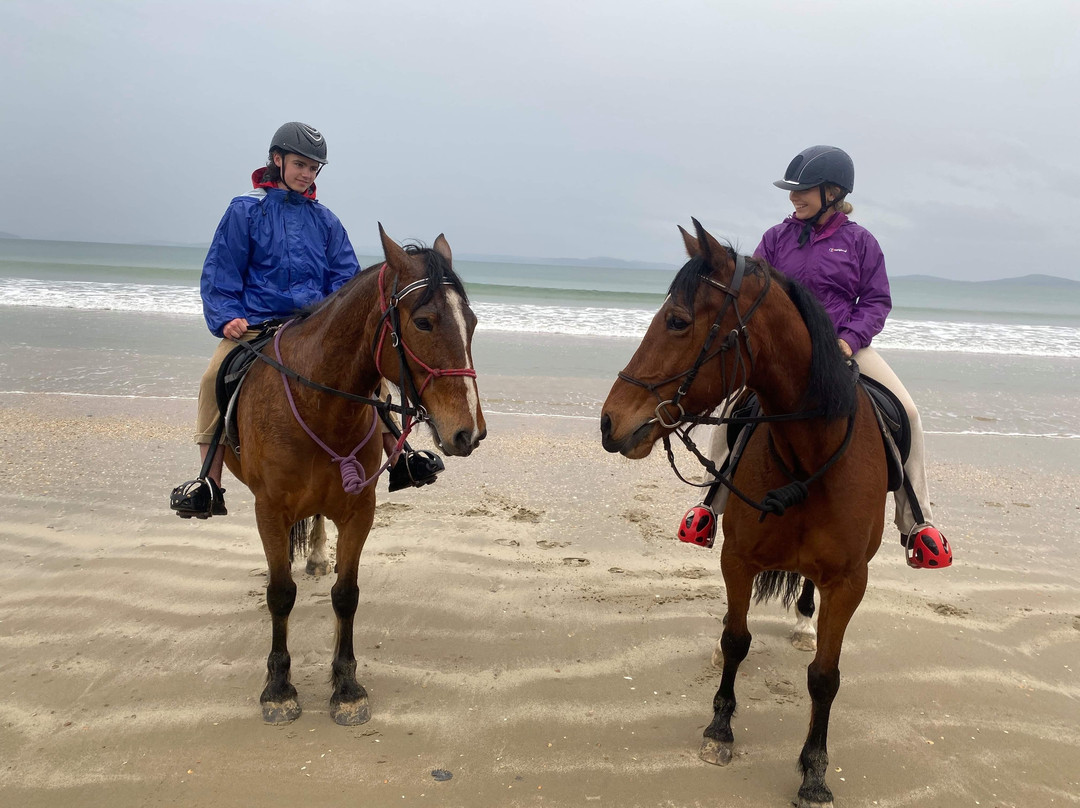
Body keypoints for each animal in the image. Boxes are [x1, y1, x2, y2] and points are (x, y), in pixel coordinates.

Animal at [225, 225, 488, 725]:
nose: (469, 432)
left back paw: (315, 556)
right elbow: (280, 594)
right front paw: (279, 688)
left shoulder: (359, 509)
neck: (319, 405)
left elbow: (346, 594)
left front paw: (346, 687)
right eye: (424, 322)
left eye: (473, 322)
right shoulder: (269, 508)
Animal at [600, 221, 885, 808]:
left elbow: (825, 677)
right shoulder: (738, 558)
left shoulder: (849, 581)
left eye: (678, 321)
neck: (808, 457)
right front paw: (719, 731)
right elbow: (736, 640)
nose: (608, 421)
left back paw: (803, 624)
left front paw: (814, 772)